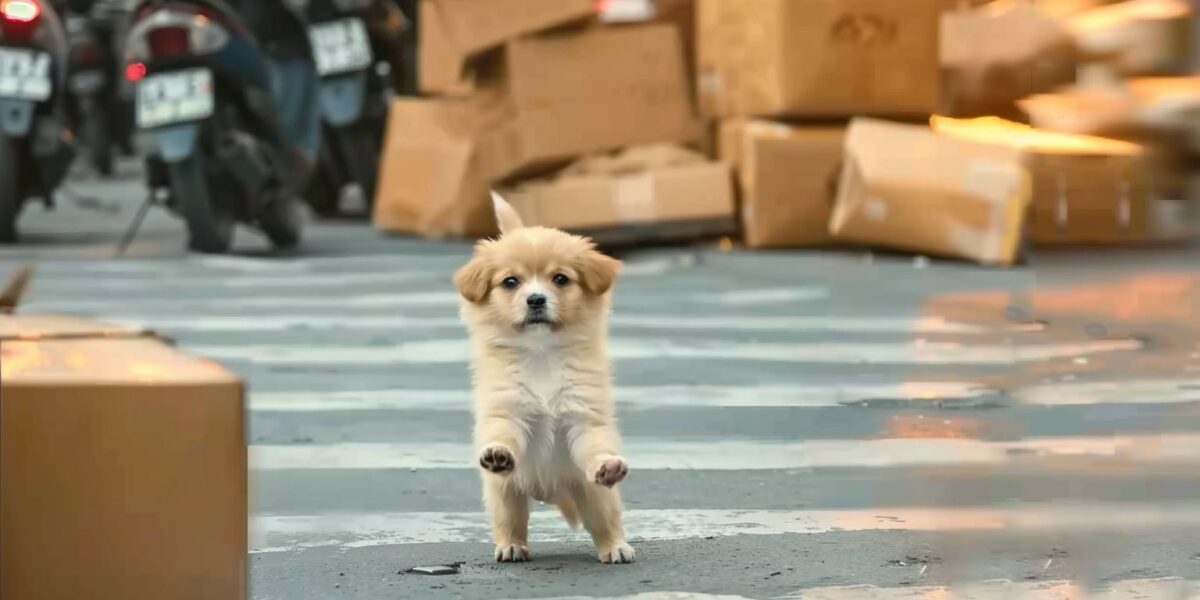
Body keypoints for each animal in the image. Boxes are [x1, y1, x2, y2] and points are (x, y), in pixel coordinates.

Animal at [451, 194, 638, 564]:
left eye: (560, 279)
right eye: (511, 282)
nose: (536, 299)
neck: (541, 356)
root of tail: (550, 492)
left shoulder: (583, 417)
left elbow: (594, 446)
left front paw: (607, 464)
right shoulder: (508, 410)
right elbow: (504, 434)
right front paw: (498, 453)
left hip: (594, 494)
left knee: (605, 520)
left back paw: (615, 547)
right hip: (504, 491)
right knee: (511, 519)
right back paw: (511, 546)